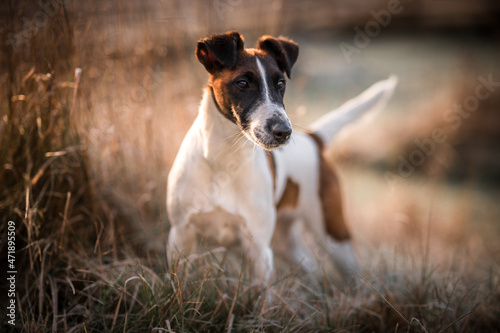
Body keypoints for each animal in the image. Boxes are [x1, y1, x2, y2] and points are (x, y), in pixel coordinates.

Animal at [166, 29, 396, 282]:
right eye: (242, 83)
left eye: (280, 83)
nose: (284, 131)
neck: (223, 161)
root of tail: (312, 140)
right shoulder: (180, 237)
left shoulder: (259, 250)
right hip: (285, 243)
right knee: (309, 265)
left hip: (333, 235)